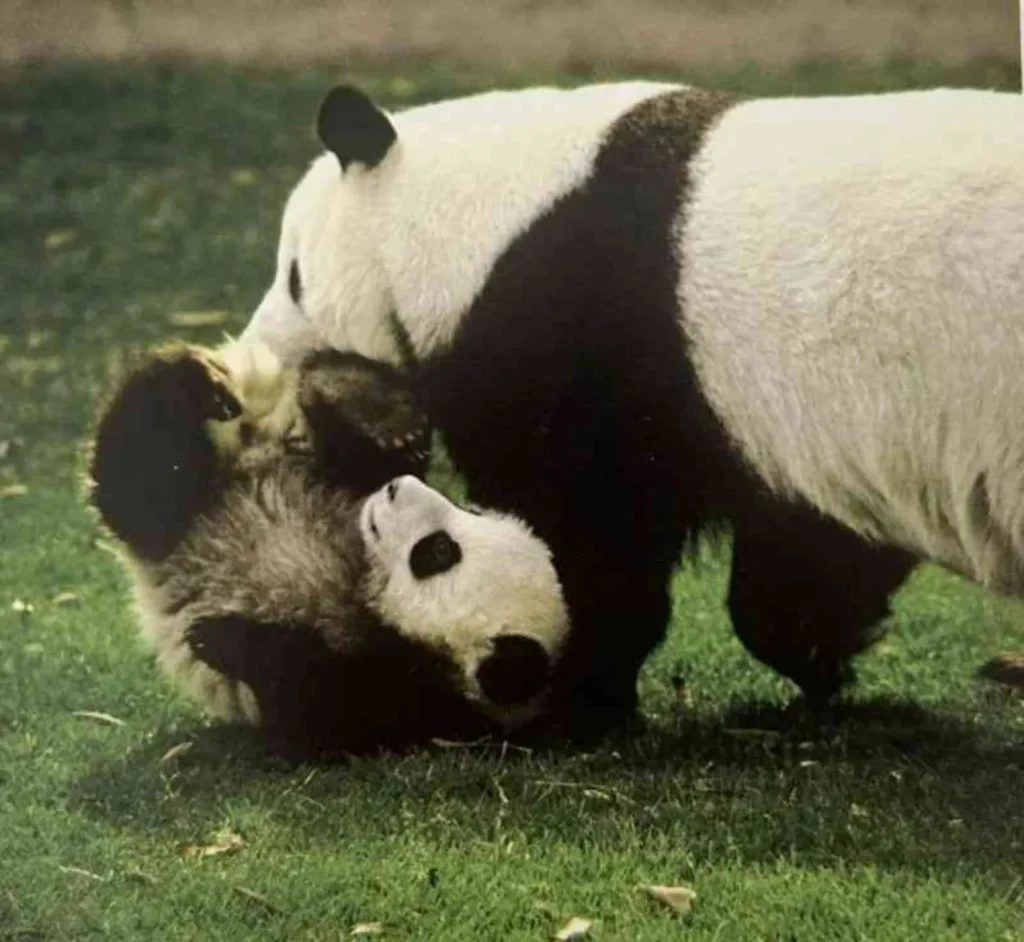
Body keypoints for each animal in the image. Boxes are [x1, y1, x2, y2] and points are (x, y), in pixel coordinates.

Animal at [88, 340, 569, 758]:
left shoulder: (408, 707)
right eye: (470, 508)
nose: (396, 489)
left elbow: (308, 701)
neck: (366, 585)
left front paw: (221, 637)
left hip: (175, 519)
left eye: (437, 552)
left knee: (137, 482)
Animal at [238, 81, 1024, 736]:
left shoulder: (585, 330)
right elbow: (806, 542)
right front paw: (823, 655)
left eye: (294, 275)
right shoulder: (773, 417)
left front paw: (575, 692)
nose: (254, 356)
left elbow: (589, 525)